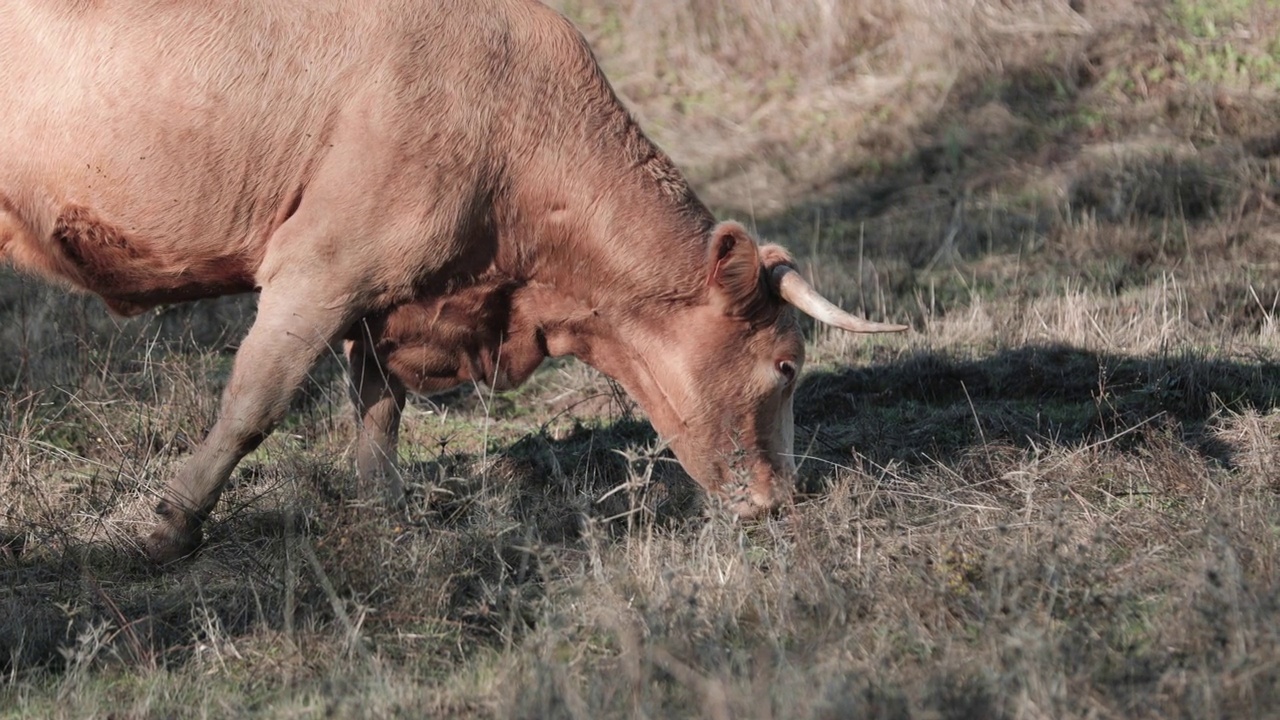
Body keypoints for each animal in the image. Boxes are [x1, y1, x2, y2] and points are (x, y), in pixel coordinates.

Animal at [0, 0, 906, 561]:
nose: (777, 502)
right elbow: (255, 402)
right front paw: (169, 526)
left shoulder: (384, 298)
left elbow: (378, 408)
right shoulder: (318, 266)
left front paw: (385, 519)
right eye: (786, 366)